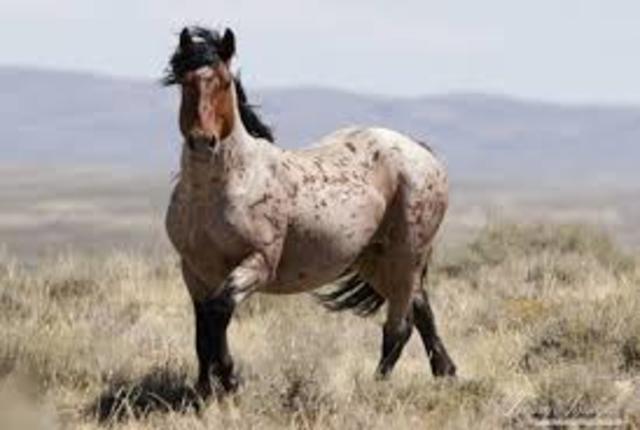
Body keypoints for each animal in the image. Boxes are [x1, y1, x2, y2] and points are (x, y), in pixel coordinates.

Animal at [164, 26, 456, 398]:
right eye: (184, 81)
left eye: (225, 82)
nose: (203, 141)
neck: (216, 191)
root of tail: (421, 151)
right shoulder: (194, 271)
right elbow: (203, 334)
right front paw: (204, 390)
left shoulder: (258, 264)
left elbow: (219, 312)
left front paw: (229, 380)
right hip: (375, 260)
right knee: (421, 311)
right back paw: (446, 373)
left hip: (406, 256)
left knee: (398, 328)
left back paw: (373, 388)